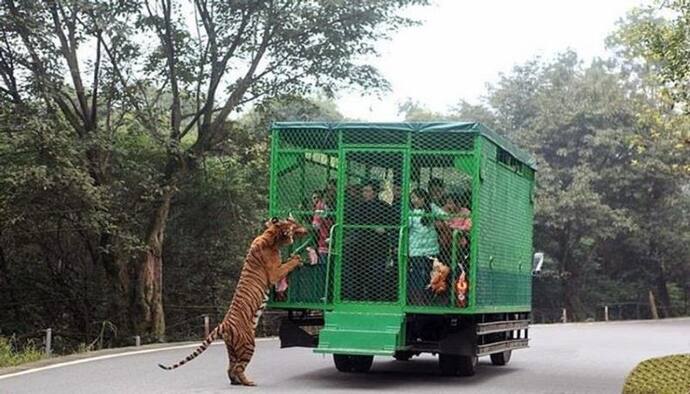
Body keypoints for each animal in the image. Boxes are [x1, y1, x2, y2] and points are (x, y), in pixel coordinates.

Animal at [159, 215, 306, 384]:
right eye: (294, 225)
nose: (304, 229)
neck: (270, 235)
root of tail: (224, 325)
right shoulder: (275, 272)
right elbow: (287, 266)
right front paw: (296, 259)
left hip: (232, 349)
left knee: (230, 368)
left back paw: (236, 381)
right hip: (248, 344)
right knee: (238, 367)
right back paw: (249, 382)